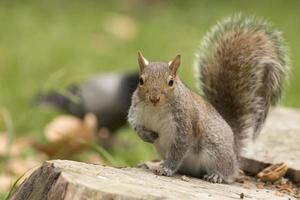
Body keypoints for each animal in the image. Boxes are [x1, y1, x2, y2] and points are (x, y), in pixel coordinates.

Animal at [127, 14, 290, 184]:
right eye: (141, 80)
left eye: (171, 82)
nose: (154, 98)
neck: (156, 109)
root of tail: (235, 153)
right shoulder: (136, 112)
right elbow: (136, 126)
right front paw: (148, 136)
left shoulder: (186, 125)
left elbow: (178, 150)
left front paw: (167, 168)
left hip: (215, 150)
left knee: (227, 172)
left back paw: (216, 175)